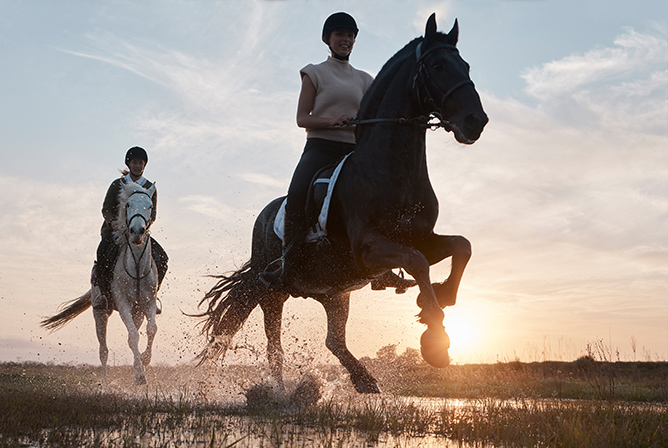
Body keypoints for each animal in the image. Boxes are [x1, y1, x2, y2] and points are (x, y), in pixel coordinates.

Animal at [41, 182, 159, 384]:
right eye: (128, 204)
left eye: (150, 206)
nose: (137, 232)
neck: (136, 265)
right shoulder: (123, 303)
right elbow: (133, 336)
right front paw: (139, 375)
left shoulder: (147, 303)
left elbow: (151, 329)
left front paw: (145, 360)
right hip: (101, 312)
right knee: (103, 351)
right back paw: (105, 386)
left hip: (137, 313)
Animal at [196, 13, 488, 392]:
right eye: (438, 65)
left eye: (465, 65)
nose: (476, 121)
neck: (395, 171)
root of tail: (264, 216)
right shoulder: (368, 248)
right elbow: (418, 261)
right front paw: (435, 334)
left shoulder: (420, 237)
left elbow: (461, 247)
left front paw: (439, 298)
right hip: (272, 291)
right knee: (275, 348)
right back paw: (281, 395)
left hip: (335, 293)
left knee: (333, 340)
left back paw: (363, 379)